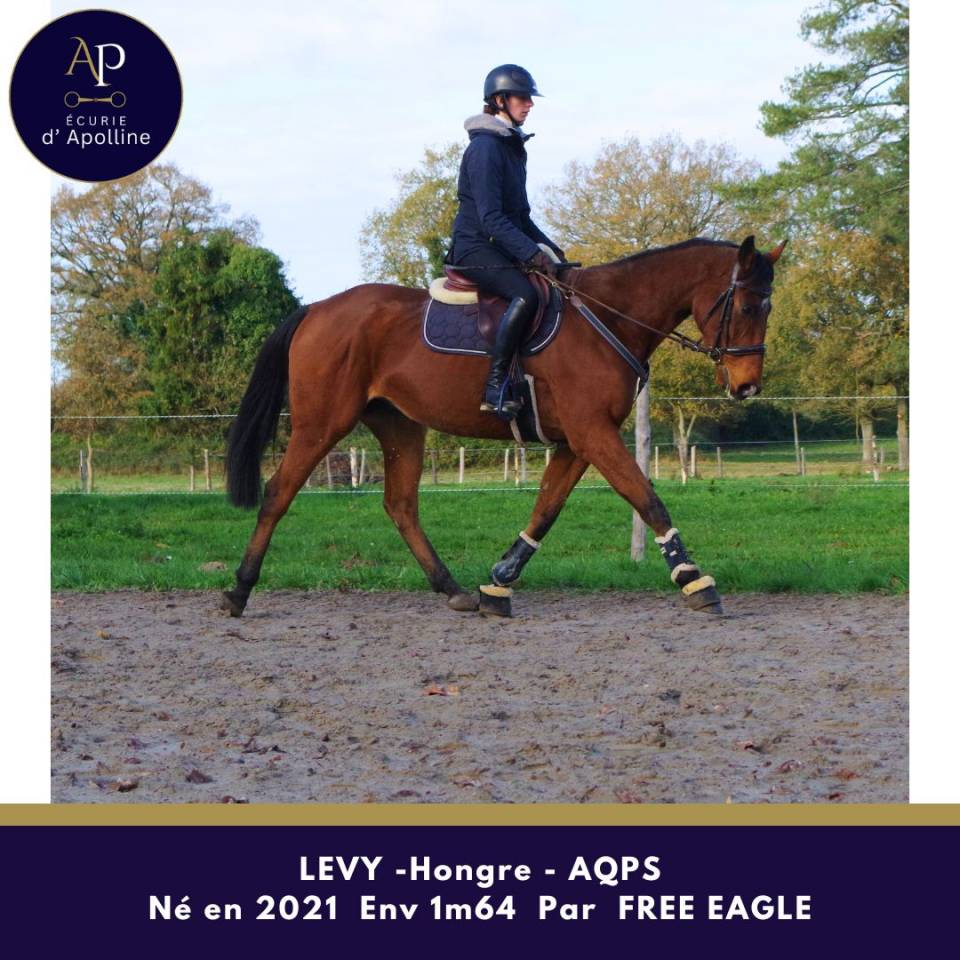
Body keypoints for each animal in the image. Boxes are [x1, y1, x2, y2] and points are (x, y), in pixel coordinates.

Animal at [222, 235, 786, 619]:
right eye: (747, 305)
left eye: (768, 306)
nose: (747, 386)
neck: (606, 318)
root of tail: (316, 307)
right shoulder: (592, 433)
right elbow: (647, 499)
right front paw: (694, 579)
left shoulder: (578, 440)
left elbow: (546, 509)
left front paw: (499, 582)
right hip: (321, 424)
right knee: (279, 492)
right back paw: (240, 588)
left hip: (401, 427)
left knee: (401, 505)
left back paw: (453, 590)